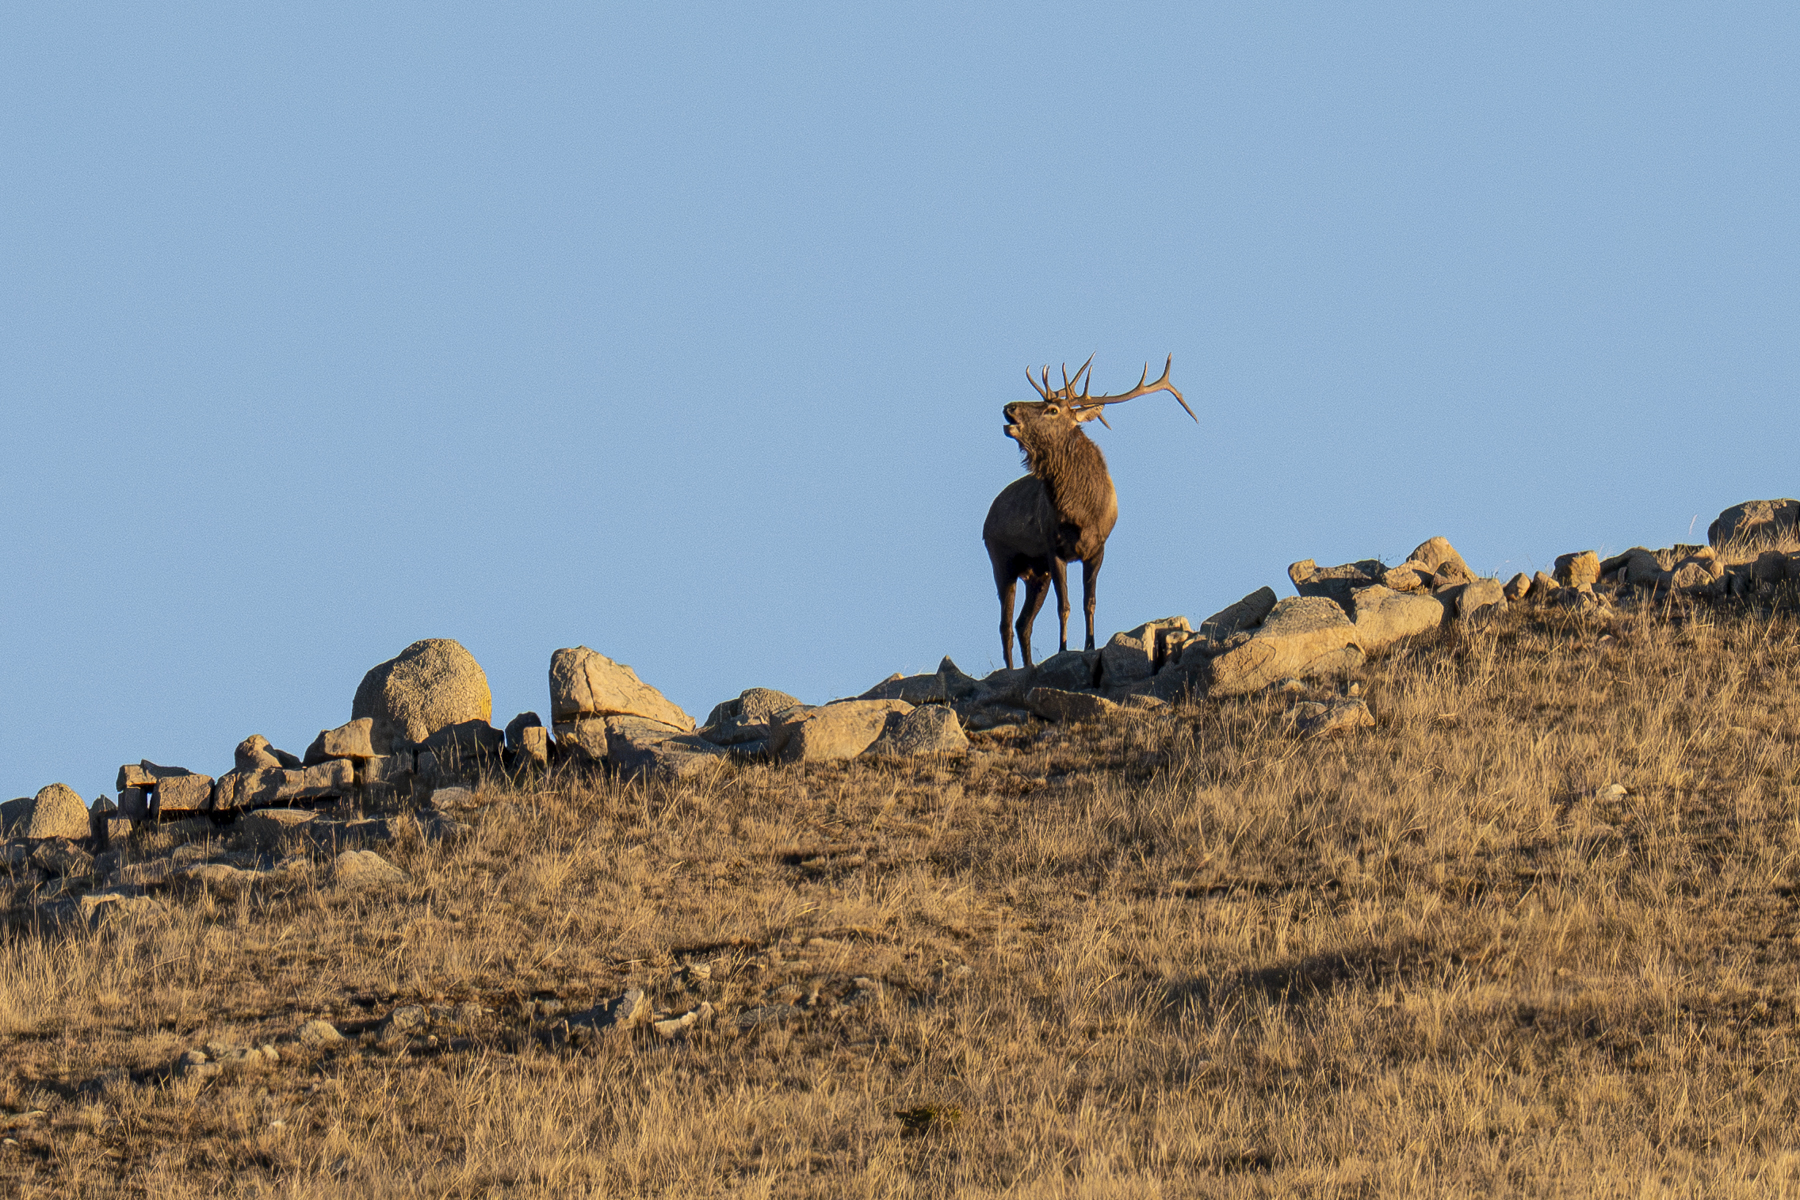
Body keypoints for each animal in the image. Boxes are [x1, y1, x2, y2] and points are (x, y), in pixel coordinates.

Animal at [983, 355, 1194, 670]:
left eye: (1052, 409)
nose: (1009, 407)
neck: (1081, 514)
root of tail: (987, 517)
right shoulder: (1053, 548)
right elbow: (1064, 605)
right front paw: (1063, 649)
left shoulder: (1097, 549)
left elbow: (1089, 602)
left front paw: (1090, 645)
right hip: (1001, 559)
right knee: (1005, 625)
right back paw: (1011, 670)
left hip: (1036, 574)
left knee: (1022, 624)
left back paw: (1028, 665)